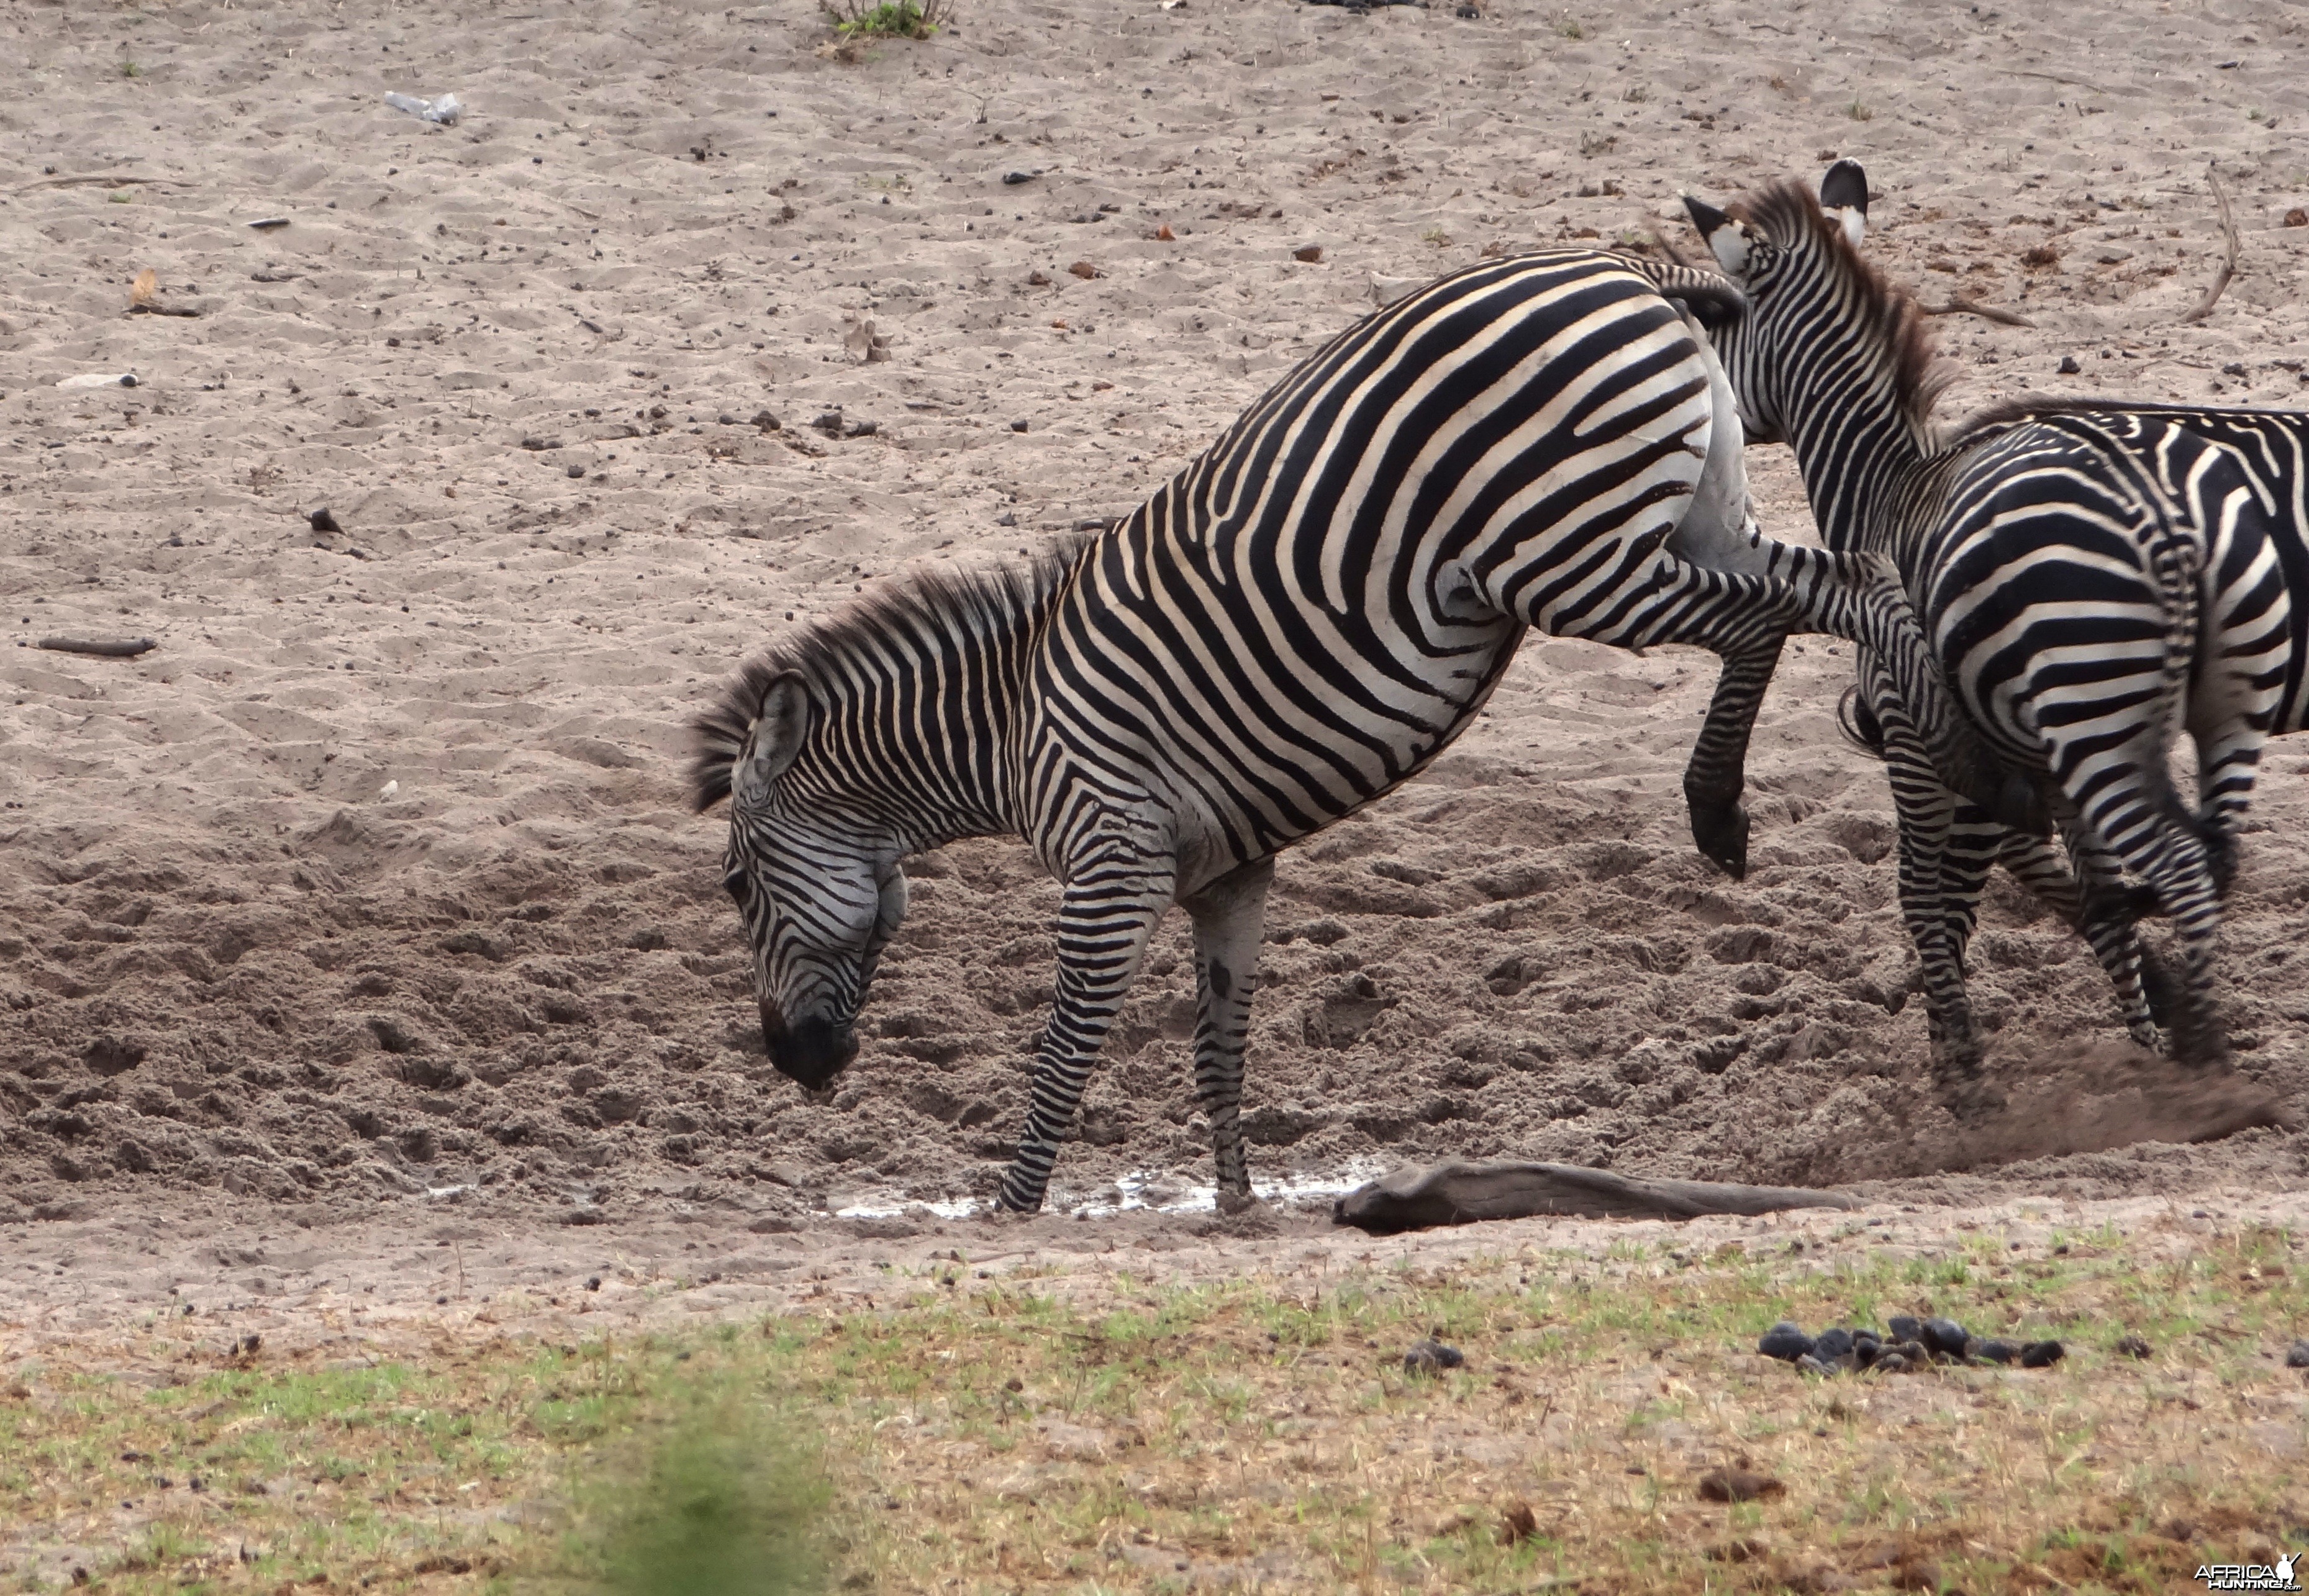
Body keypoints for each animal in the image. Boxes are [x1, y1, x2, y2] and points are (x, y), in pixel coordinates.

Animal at [687, 247, 2004, 1210]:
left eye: (739, 889)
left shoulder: (1110, 863)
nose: (795, 1064)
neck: (1010, 730)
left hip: (1571, 562)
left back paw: (1909, 749)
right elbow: (1217, 1047)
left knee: (1823, 600)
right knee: (1816, 597)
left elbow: (1067, 1044)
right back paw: (1747, 796)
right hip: (1690, 522)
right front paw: (1232, 1205)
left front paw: (1012, 1209)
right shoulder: (1224, 873)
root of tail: (1621, 272)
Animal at [1681, 163, 2290, 1086]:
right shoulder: (2022, 754)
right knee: (2208, 858)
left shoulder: (1918, 733)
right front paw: (2141, 1039)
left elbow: (1929, 897)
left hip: (2094, 717)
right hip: (2207, 709)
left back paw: (2206, 1068)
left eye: (1716, 323)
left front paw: (1960, 1073)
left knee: (2183, 861)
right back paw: (2199, 1051)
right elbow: (2092, 898)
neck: (1887, 486)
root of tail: (2161, 521)